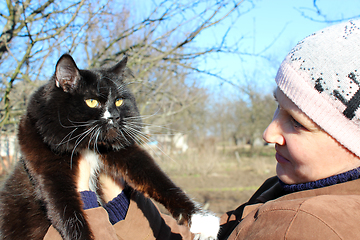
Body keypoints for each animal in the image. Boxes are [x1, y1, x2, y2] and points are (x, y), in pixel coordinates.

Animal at [0, 54, 219, 240]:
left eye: (119, 101)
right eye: (91, 101)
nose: (114, 116)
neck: (90, 146)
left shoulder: (128, 153)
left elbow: (160, 181)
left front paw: (202, 218)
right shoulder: (50, 174)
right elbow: (68, 215)